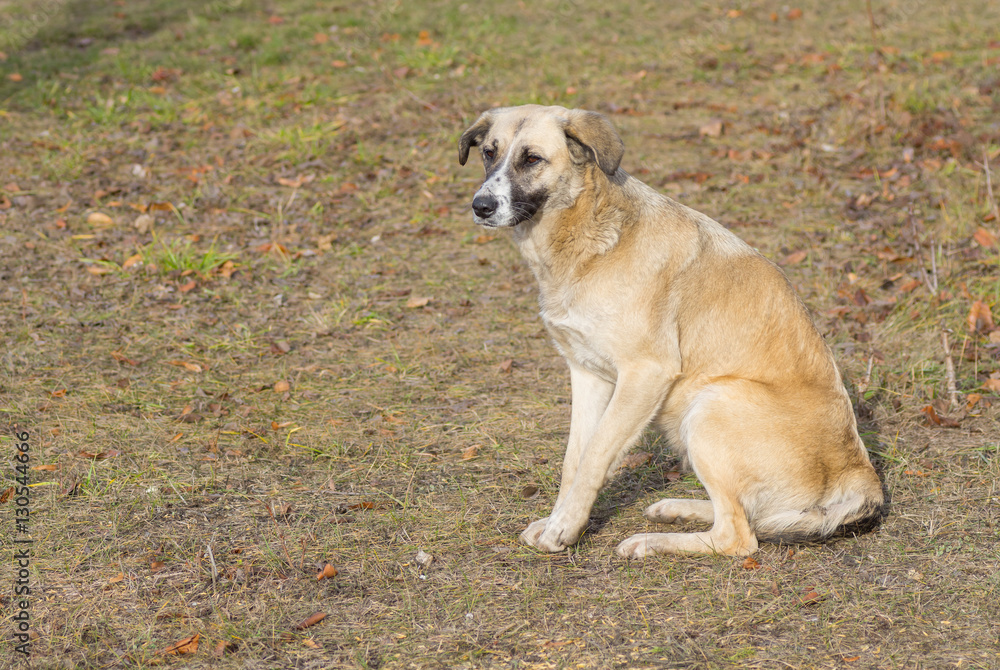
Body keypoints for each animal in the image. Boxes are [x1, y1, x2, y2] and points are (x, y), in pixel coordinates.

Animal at [456, 105, 884, 556]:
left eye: (532, 159)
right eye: (489, 153)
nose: (481, 206)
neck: (590, 240)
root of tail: (860, 477)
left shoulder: (645, 374)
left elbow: (593, 457)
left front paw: (564, 529)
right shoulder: (587, 375)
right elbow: (574, 459)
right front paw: (558, 519)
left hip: (711, 403)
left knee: (737, 536)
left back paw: (649, 542)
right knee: (742, 513)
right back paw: (678, 508)